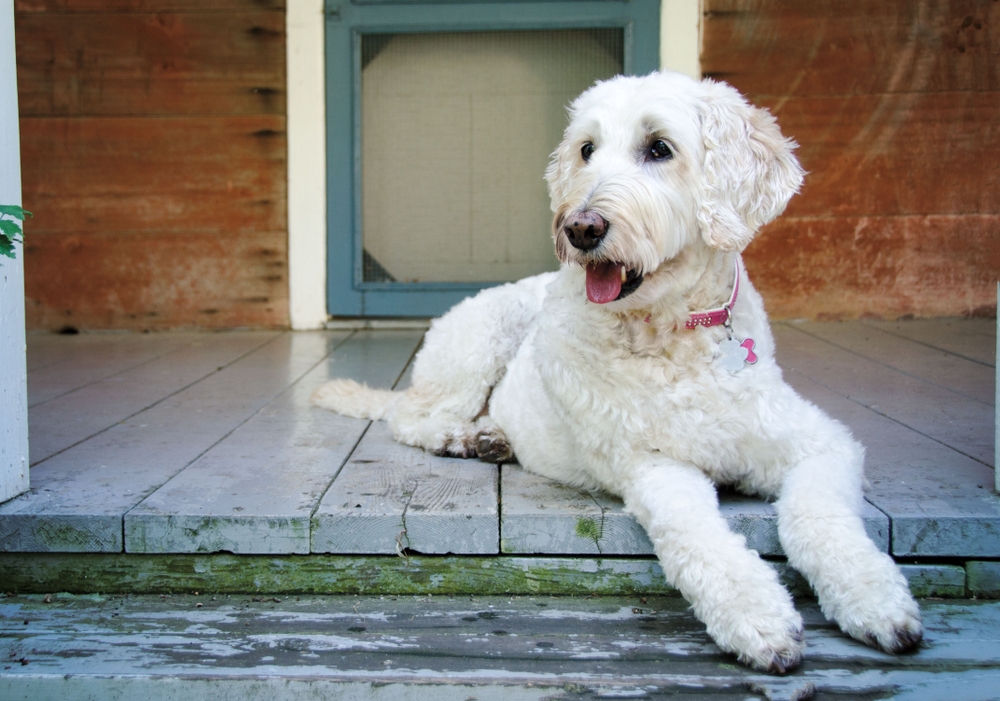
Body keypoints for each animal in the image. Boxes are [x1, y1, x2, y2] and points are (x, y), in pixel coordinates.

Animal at [312, 71, 920, 672]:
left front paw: (875, 601)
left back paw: (493, 436)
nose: (580, 227)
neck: (674, 332)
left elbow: (821, 513)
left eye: (660, 148)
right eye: (587, 149)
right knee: (410, 416)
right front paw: (758, 619)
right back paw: (463, 437)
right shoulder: (649, 464)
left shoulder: (820, 443)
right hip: (480, 340)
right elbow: (697, 533)